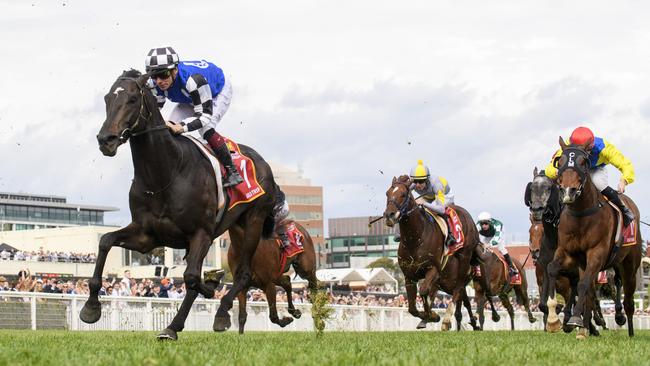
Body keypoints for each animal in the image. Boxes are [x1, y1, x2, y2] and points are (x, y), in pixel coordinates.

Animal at [83, 69, 276, 340]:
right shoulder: (147, 236)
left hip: (254, 223)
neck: (166, 172)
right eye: (107, 99)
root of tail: (264, 163)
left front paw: (207, 291)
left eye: (132, 99)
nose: (106, 140)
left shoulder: (201, 233)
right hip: (235, 229)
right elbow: (105, 241)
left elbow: (192, 278)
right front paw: (91, 307)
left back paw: (218, 313)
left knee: (244, 274)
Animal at [382, 175, 478, 332]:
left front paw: (432, 316)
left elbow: (423, 291)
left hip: (463, 262)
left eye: (403, 194)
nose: (389, 215)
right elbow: (412, 308)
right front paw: (427, 316)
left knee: (458, 289)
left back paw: (447, 320)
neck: (415, 238)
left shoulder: (433, 269)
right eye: (387, 193)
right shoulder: (409, 276)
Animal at [544, 139, 640, 338]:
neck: (581, 213)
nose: (568, 191)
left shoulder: (597, 253)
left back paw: (627, 328)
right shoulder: (567, 252)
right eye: (560, 160)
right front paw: (554, 321)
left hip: (630, 264)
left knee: (627, 297)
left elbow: (583, 284)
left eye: (583, 162)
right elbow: (552, 269)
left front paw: (573, 319)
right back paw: (585, 329)